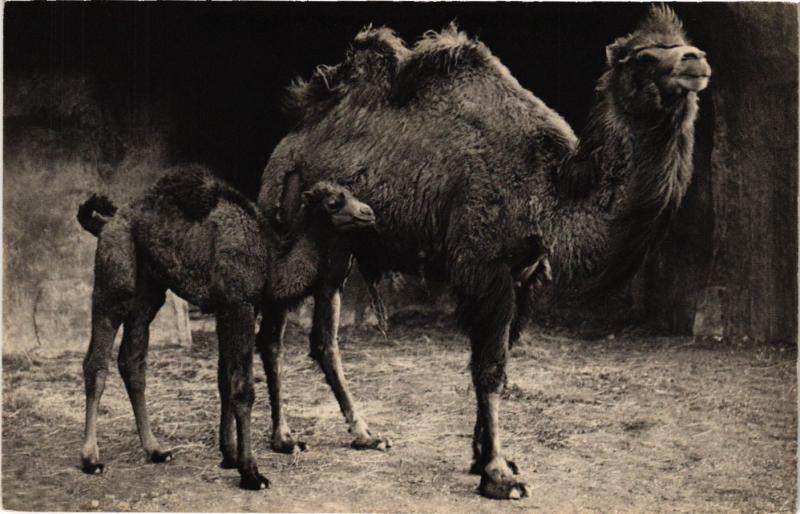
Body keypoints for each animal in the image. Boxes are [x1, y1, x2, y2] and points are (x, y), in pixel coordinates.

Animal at [77, 165, 376, 490]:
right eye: (333, 202)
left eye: (352, 194)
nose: (368, 212)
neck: (270, 259)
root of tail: (107, 222)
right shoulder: (239, 304)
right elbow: (243, 388)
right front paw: (251, 472)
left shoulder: (228, 308)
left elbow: (224, 380)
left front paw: (229, 455)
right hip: (114, 278)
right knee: (96, 361)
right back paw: (91, 459)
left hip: (149, 291)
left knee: (132, 361)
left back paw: (155, 450)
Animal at [257, 6, 710, 499]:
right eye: (644, 57)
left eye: (685, 45)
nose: (696, 61)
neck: (545, 191)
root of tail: (286, 142)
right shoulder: (485, 267)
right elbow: (490, 369)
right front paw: (498, 475)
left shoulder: (525, 275)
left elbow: (496, 363)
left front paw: (484, 458)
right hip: (285, 220)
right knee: (272, 335)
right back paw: (283, 438)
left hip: (339, 247)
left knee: (325, 340)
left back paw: (366, 434)